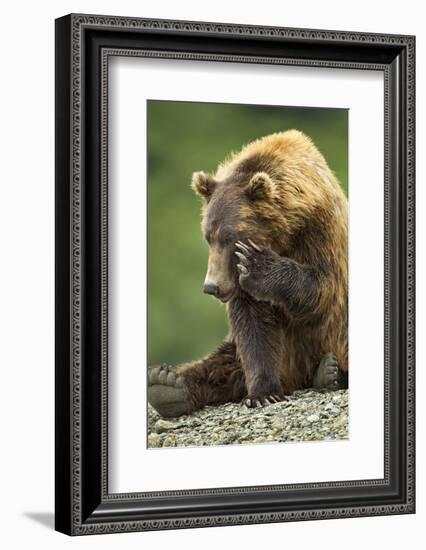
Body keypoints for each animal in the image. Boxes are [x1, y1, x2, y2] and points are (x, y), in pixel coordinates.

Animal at [148, 130, 348, 418]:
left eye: (230, 238)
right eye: (208, 237)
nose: (211, 287)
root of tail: (297, 378)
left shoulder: (321, 232)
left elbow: (322, 285)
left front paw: (258, 264)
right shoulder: (238, 285)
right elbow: (253, 326)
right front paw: (262, 393)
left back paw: (331, 372)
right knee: (224, 362)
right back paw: (167, 385)